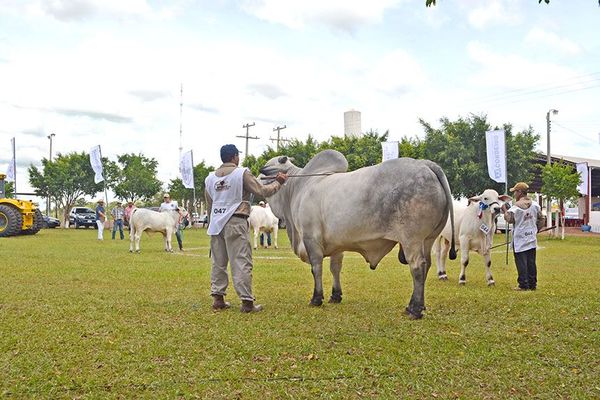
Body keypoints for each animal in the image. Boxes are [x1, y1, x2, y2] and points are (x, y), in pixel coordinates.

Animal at [260, 148, 458, 320]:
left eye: (263, 175)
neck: (297, 188)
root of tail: (425, 164)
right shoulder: (337, 244)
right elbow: (335, 268)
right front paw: (335, 296)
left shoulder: (310, 239)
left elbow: (316, 268)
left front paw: (316, 298)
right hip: (428, 239)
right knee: (427, 265)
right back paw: (417, 305)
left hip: (412, 239)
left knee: (417, 266)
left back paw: (414, 309)